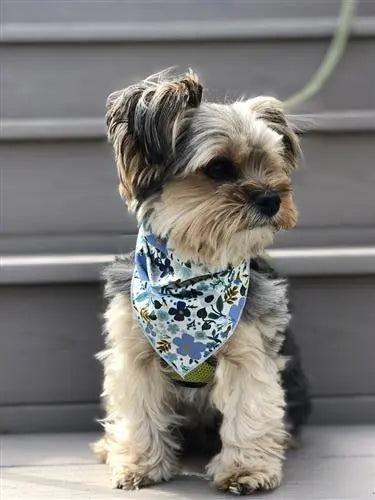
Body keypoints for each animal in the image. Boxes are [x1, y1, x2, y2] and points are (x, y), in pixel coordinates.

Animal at [94, 68, 312, 494]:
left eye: (272, 163)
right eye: (218, 169)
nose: (272, 199)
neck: (193, 266)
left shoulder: (249, 353)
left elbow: (250, 410)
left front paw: (246, 471)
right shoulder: (134, 353)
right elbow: (138, 410)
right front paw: (139, 464)